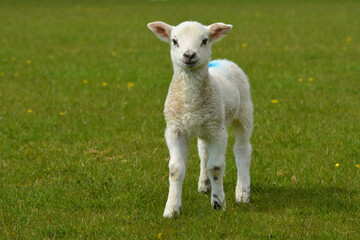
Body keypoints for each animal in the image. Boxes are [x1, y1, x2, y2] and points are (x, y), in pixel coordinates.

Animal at [146, 21, 253, 218]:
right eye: (174, 41)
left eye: (204, 40)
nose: (189, 55)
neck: (191, 102)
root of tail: (224, 61)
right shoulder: (175, 130)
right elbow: (175, 169)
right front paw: (172, 209)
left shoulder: (218, 132)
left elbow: (216, 167)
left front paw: (218, 203)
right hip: (205, 125)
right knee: (203, 151)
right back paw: (204, 184)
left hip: (243, 113)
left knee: (242, 149)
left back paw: (242, 192)